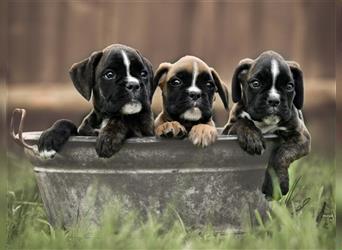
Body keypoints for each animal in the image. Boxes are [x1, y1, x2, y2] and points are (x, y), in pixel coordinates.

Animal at [223, 50, 312, 198]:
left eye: (289, 86)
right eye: (256, 84)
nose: (274, 100)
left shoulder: (302, 137)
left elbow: (282, 154)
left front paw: (277, 185)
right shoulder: (228, 128)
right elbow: (243, 121)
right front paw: (252, 137)